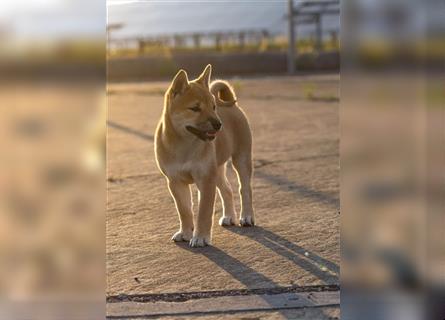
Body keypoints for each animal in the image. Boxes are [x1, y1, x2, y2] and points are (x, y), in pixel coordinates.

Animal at [155, 63, 253, 246]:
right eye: (195, 108)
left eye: (213, 107)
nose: (218, 124)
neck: (184, 145)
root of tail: (233, 107)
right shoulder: (175, 182)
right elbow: (184, 210)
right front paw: (186, 232)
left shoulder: (206, 179)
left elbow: (204, 212)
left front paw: (200, 237)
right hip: (218, 170)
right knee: (227, 190)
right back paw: (229, 216)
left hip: (241, 159)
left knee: (244, 189)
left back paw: (247, 216)